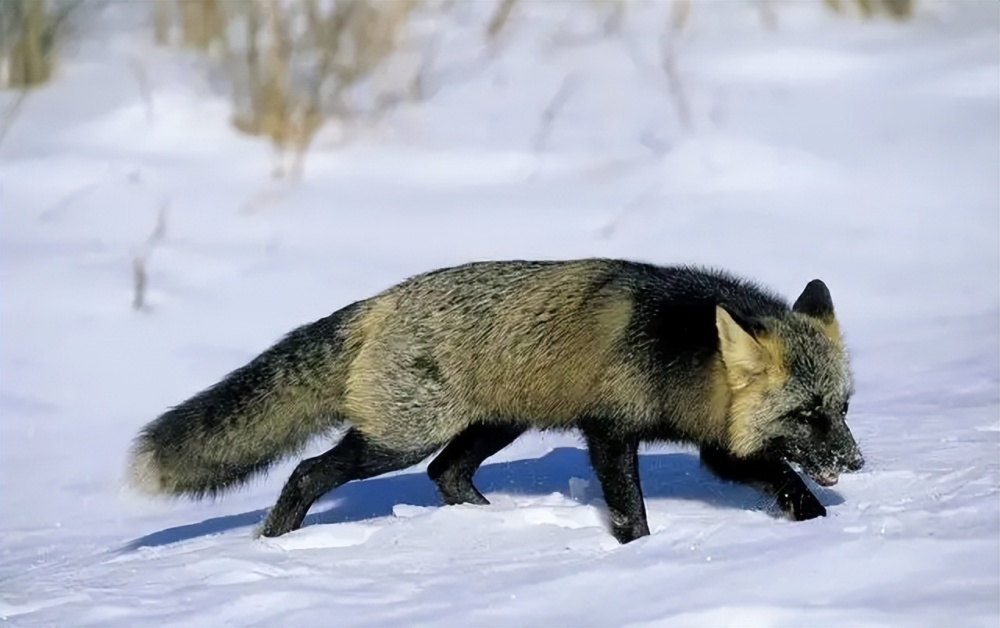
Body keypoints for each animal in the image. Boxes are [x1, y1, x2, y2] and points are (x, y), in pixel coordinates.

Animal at [125, 258, 864, 544]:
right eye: (806, 414)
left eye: (843, 407)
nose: (857, 462)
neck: (677, 352)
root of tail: (382, 300)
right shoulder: (609, 430)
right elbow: (631, 510)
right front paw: (641, 556)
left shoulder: (718, 444)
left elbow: (786, 481)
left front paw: (823, 529)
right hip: (400, 439)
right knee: (310, 472)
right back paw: (276, 543)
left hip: (495, 425)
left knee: (446, 475)